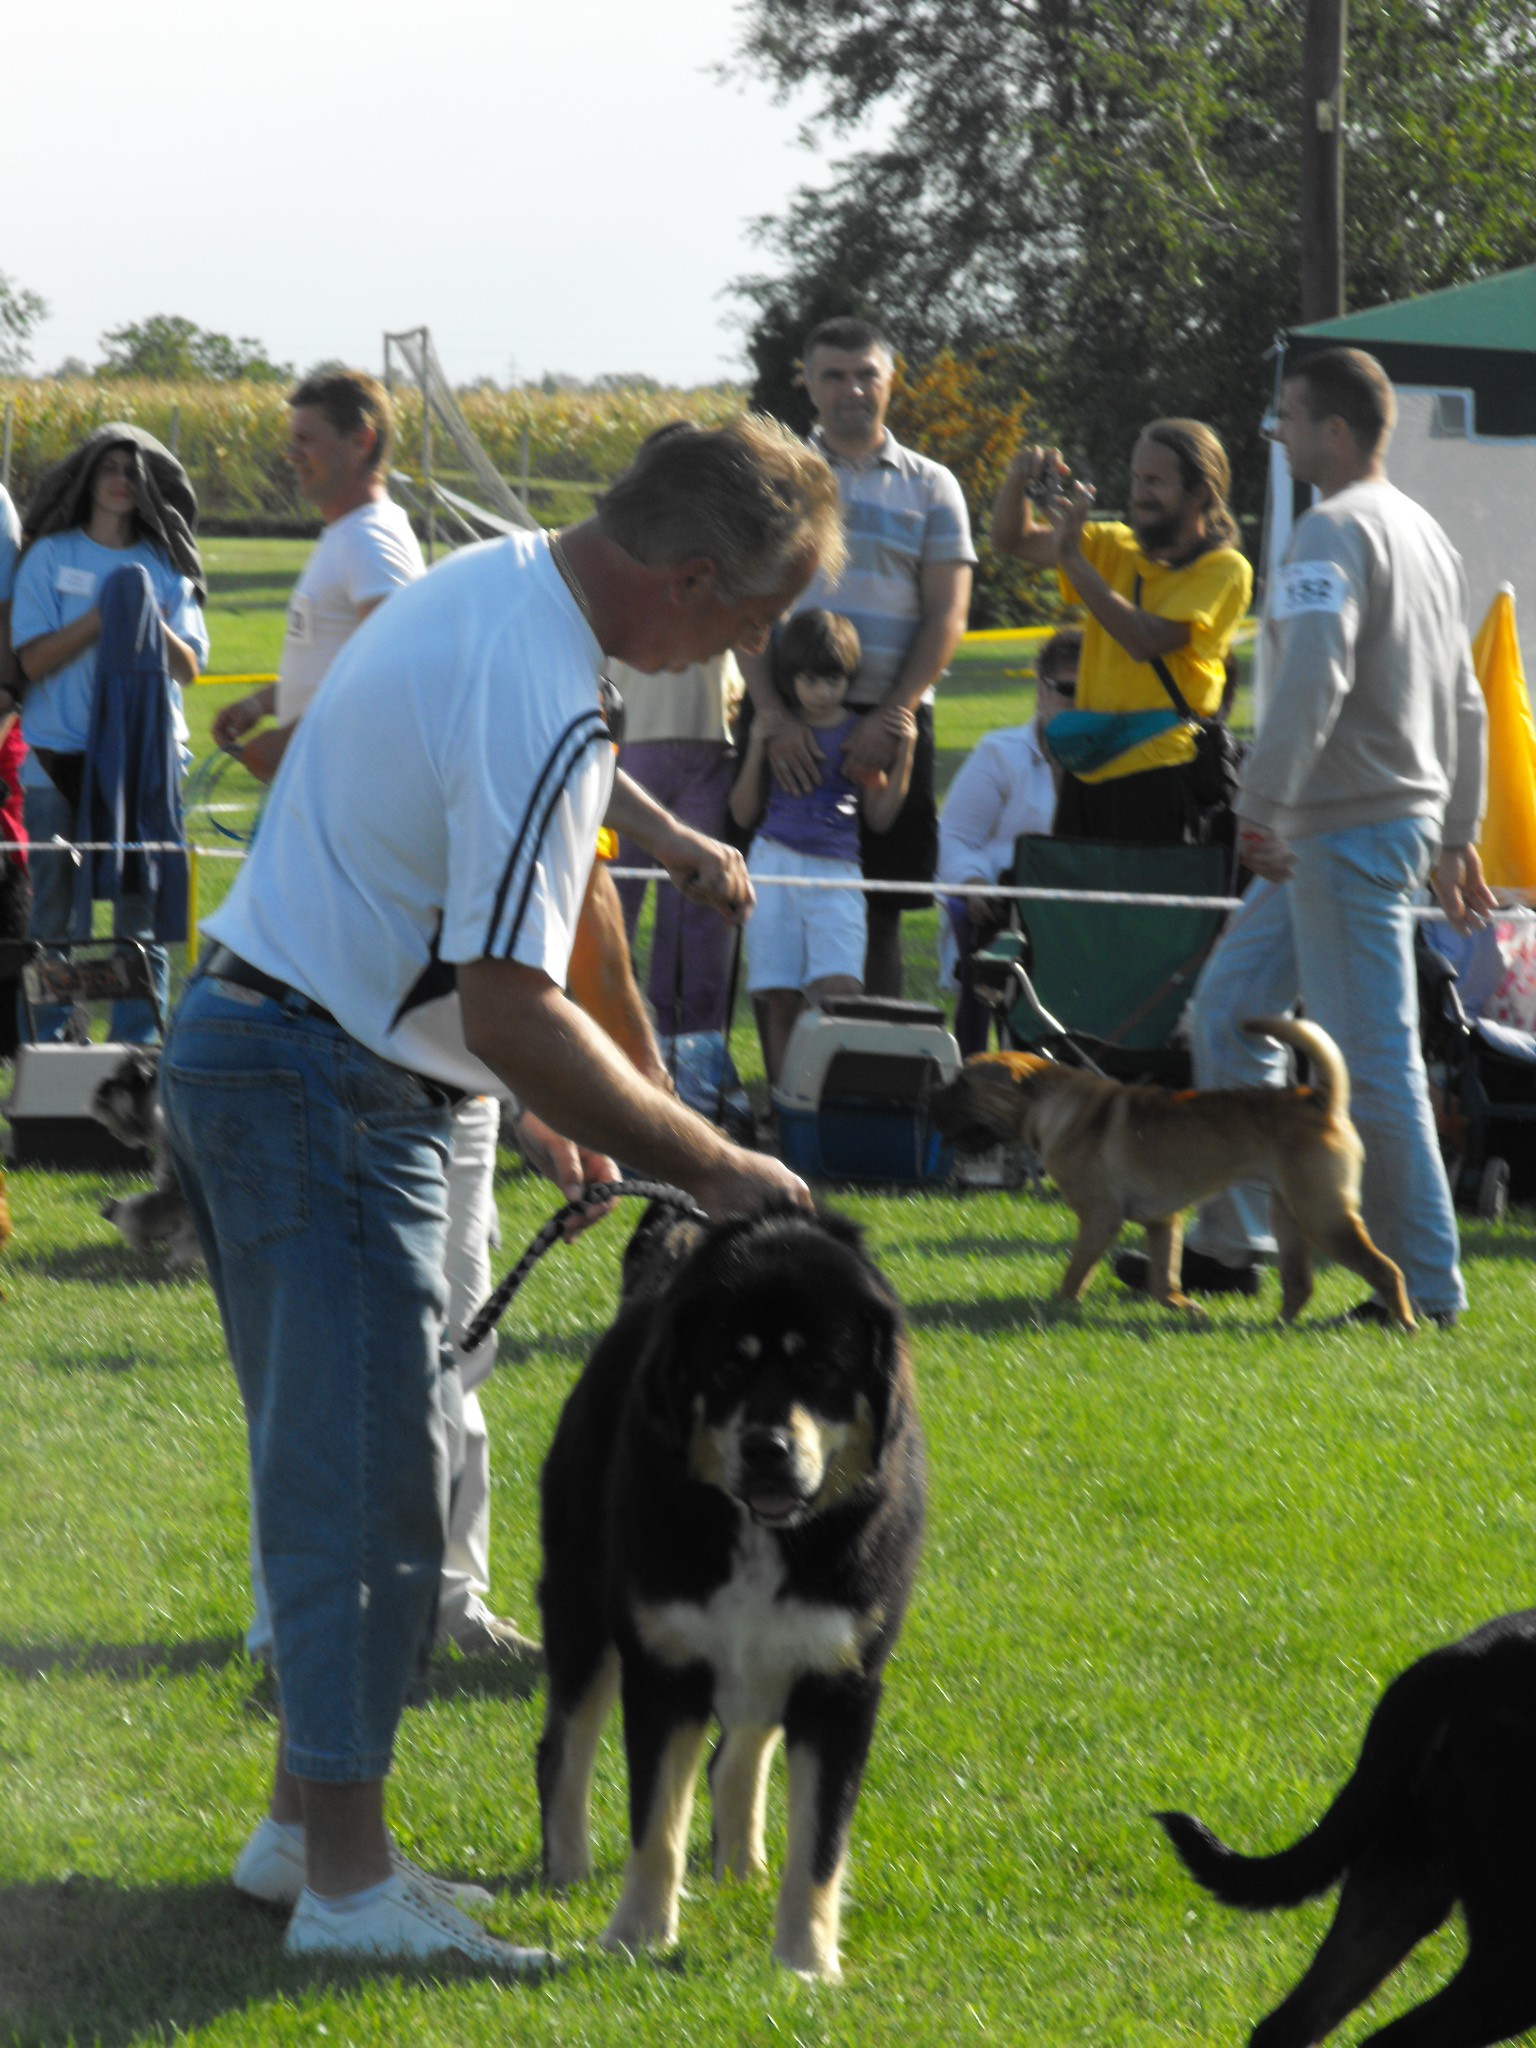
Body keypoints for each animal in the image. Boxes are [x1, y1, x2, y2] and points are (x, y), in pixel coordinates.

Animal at [540, 1204, 925, 1974]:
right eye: (725, 1367)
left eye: (821, 1367)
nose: (766, 1446)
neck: (759, 1536)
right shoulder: (664, 1669)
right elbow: (655, 1824)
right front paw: (636, 1936)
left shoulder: (838, 1683)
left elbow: (819, 1845)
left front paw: (806, 1961)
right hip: (584, 1616)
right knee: (562, 1750)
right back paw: (567, 1870)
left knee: (735, 1758)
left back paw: (741, 1869)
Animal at [933, 1019, 1417, 1335]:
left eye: (965, 1085)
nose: (930, 1099)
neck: (1050, 1104)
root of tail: (1321, 1100)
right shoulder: (1163, 1221)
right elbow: (1163, 1279)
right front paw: (1186, 1308)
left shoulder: (1100, 1218)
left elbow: (1076, 1274)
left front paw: (1056, 1311)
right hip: (1290, 1216)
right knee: (1300, 1284)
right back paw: (1276, 1326)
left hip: (1323, 1215)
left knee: (1386, 1269)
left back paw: (1406, 1324)